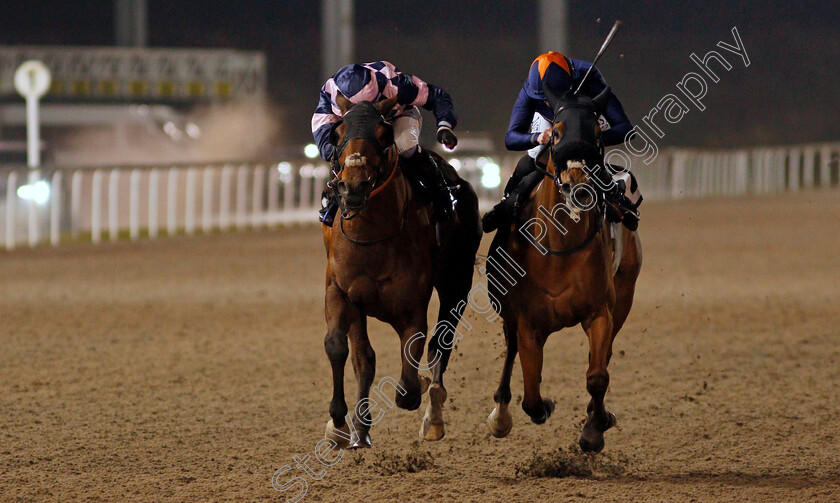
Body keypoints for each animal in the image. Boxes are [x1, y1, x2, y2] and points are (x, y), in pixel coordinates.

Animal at [322, 94, 480, 448]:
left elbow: (408, 388)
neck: (372, 239)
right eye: (337, 133)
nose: (353, 187)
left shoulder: (412, 307)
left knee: (440, 344)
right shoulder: (341, 292)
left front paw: (418, 389)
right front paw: (341, 424)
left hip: (457, 284)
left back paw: (433, 418)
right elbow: (344, 349)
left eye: (383, 134)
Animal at [486, 85, 644, 452]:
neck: (559, 246)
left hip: (624, 295)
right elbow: (531, 394)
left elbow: (597, 375)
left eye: (598, 133)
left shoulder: (600, 311)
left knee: (607, 352)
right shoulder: (529, 324)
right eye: (556, 133)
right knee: (511, 351)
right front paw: (542, 406)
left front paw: (595, 428)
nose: (577, 185)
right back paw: (500, 414)